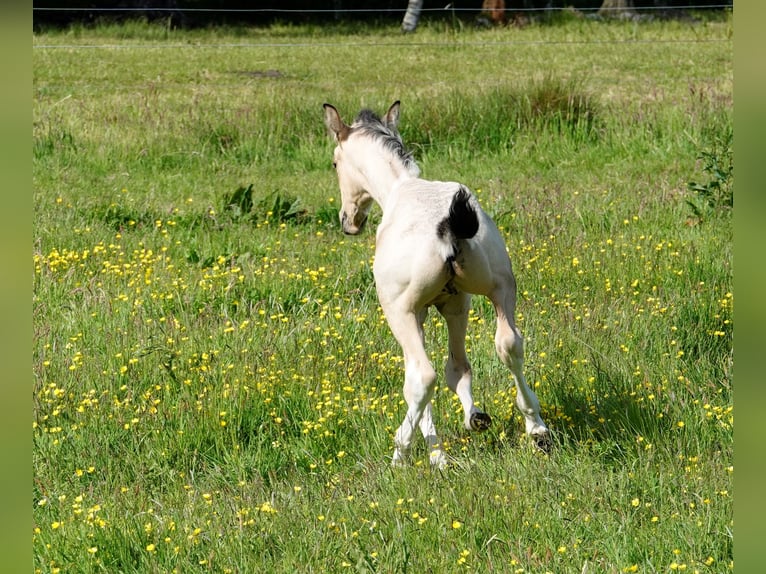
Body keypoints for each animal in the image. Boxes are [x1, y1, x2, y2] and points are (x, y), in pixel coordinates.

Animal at [324, 100, 552, 468]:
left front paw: (436, 455)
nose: (349, 221)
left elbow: (422, 379)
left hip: (399, 311)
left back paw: (400, 454)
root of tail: (448, 222)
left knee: (421, 376)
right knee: (509, 345)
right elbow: (457, 369)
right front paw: (475, 418)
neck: (400, 188)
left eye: (334, 163)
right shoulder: (456, 305)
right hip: (501, 289)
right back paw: (537, 429)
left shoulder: (414, 313)